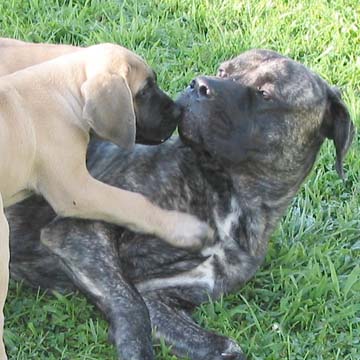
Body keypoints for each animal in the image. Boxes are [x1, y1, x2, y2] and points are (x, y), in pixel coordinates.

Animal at [6, 49, 354, 358]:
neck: (231, 201)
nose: (199, 84)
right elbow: (130, 304)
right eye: (223, 70)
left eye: (265, 94)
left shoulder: (161, 296)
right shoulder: (78, 231)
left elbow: (224, 346)